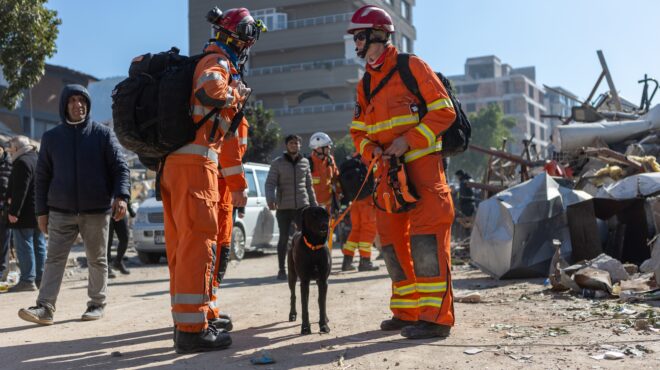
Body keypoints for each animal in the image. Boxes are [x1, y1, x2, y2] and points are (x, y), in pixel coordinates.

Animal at [288, 205, 332, 336]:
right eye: (314, 215)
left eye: (327, 215)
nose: (325, 225)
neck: (314, 247)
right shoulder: (304, 281)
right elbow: (304, 306)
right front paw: (305, 328)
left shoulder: (323, 281)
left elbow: (322, 304)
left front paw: (324, 325)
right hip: (292, 275)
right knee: (293, 295)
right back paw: (292, 314)